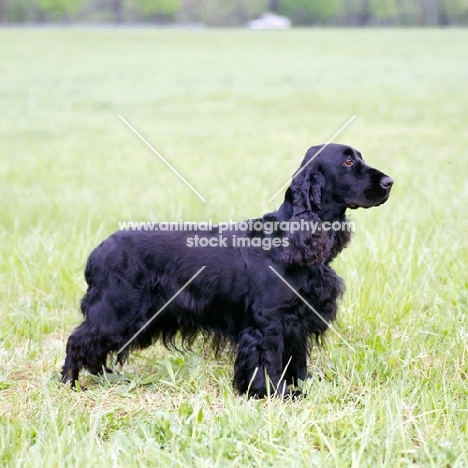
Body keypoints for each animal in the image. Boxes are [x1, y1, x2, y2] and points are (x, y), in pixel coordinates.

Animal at [60, 142, 394, 394]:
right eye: (348, 161)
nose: (389, 182)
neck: (287, 237)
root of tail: (98, 251)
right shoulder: (267, 322)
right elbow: (269, 361)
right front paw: (273, 393)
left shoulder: (297, 320)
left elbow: (296, 360)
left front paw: (302, 387)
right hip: (117, 309)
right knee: (78, 340)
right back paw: (69, 383)